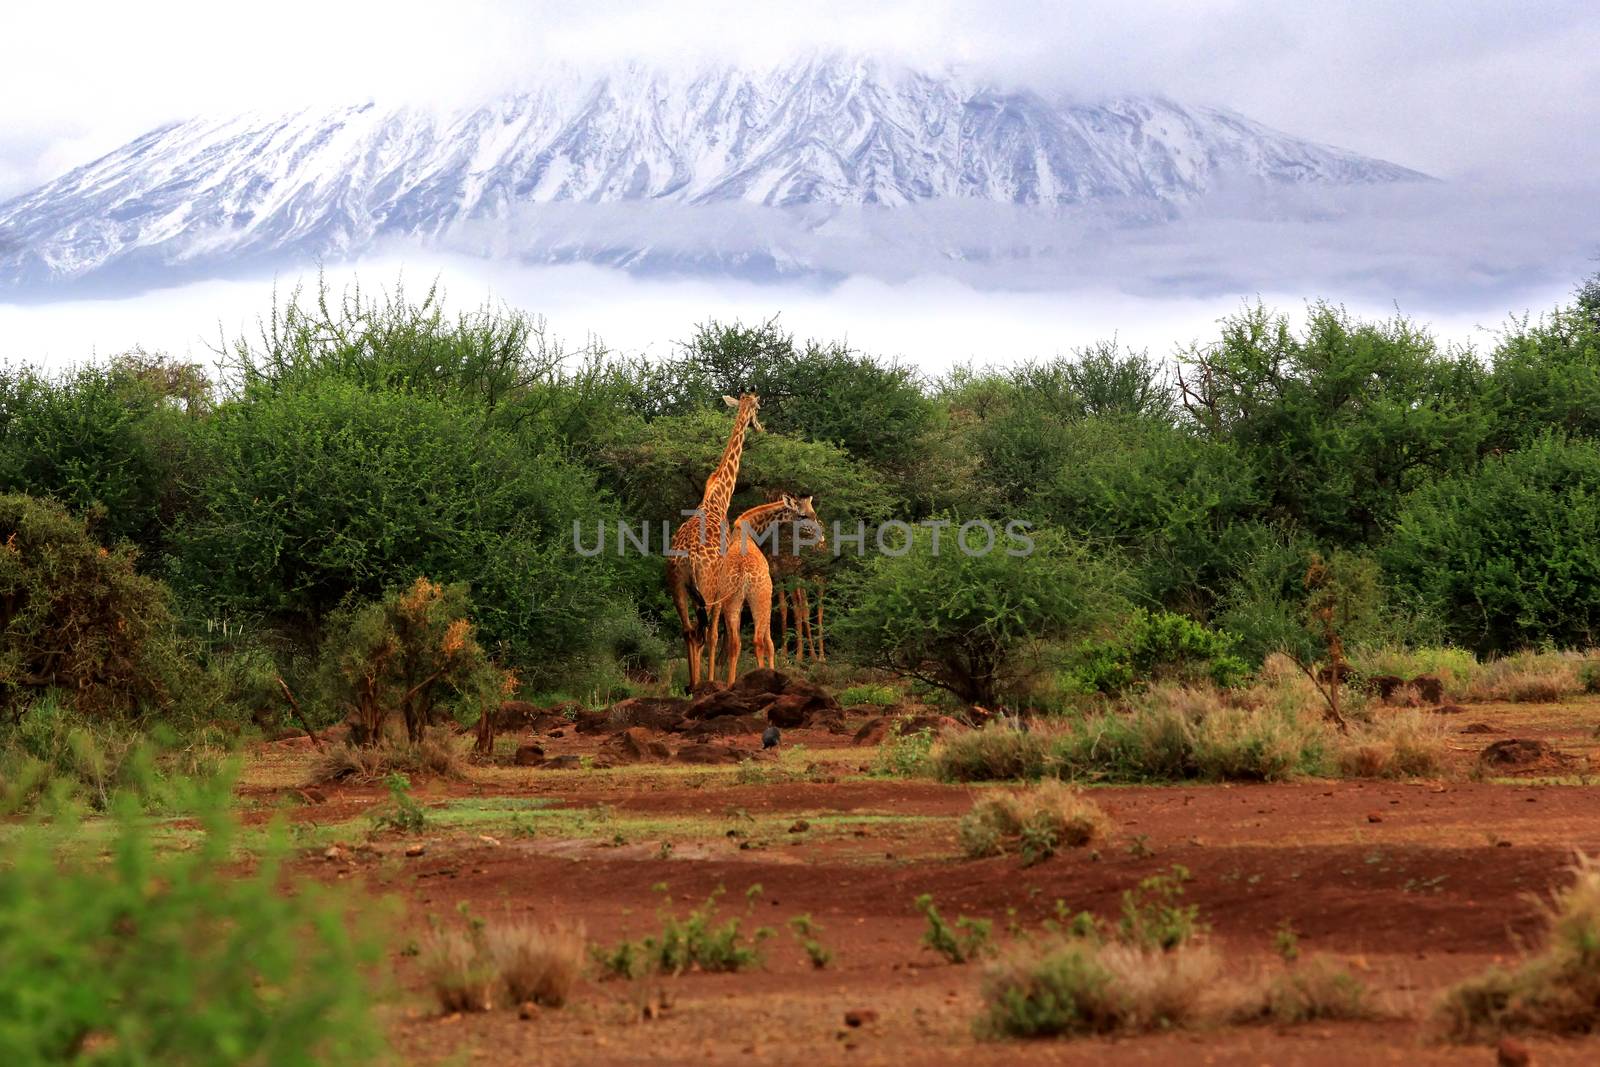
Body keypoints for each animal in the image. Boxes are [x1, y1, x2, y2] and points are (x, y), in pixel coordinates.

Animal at [662, 395, 761, 694]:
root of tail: (685, 560)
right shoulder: (720, 586)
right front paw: (713, 681)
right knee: (703, 632)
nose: (759, 426)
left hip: (677, 586)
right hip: (704, 588)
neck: (719, 497)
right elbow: (716, 634)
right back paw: (699, 685)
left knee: (688, 631)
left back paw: (691, 685)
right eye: (758, 408)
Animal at [707, 495, 825, 684]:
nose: (821, 536)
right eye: (802, 515)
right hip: (761, 597)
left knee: (734, 642)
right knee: (759, 640)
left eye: (813, 513)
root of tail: (744, 573)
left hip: (733, 601)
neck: (748, 527)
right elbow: (770, 640)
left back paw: (730, 683)